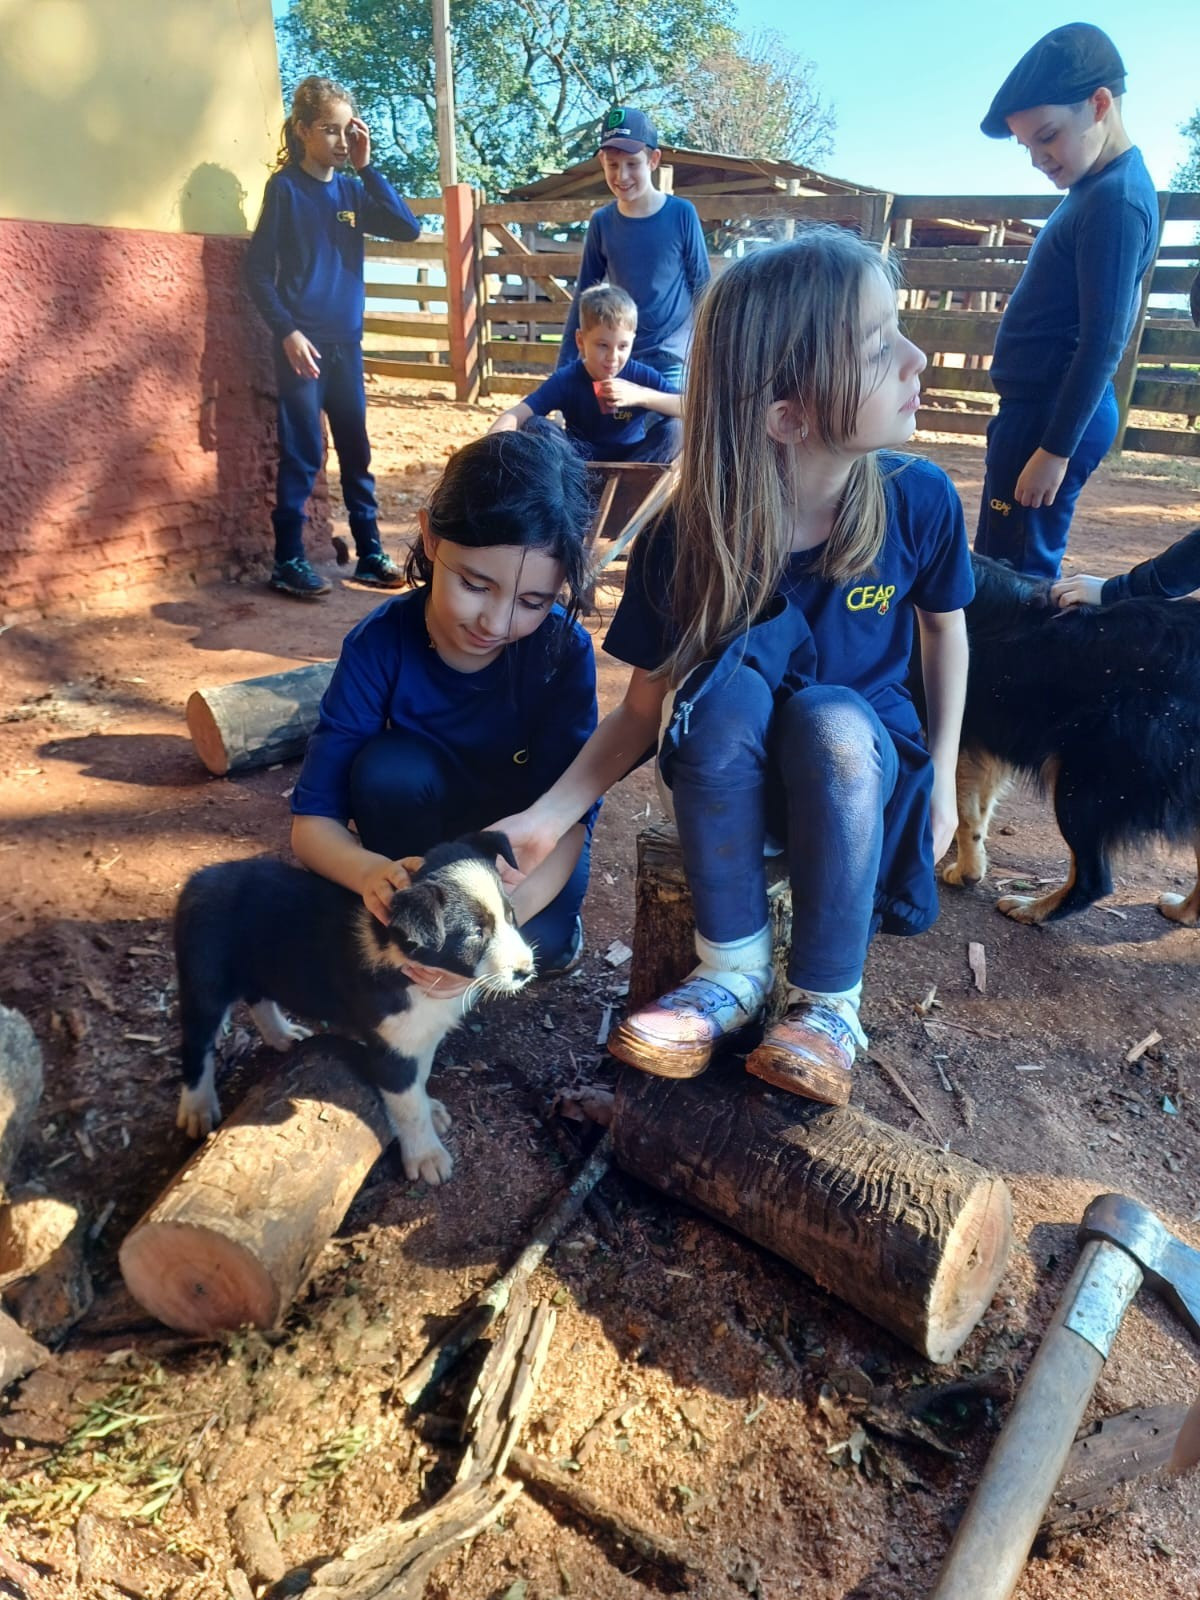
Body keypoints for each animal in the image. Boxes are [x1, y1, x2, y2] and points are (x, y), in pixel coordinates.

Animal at [172, 832, 535, 1184]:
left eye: (510, 913)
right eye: (476, 932)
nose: (525, 970)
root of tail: (199, 877)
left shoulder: (420, 1035)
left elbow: (420, 1080)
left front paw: (430, 1109)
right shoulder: (391, 1049)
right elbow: (408, 1106)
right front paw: (426, 1156)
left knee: (258, 997)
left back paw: (282, 1034)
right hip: (205, 977)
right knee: (196, 1042)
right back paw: (197, 1107)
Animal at [937, 553, 1200, 925]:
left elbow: (960, 807)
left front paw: (962, 869)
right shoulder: (982, 745)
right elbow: (975, 811)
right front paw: (970, 867)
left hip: (1082, 786)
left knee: (1093, 880)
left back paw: (1032, 909)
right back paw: (1182, 910)